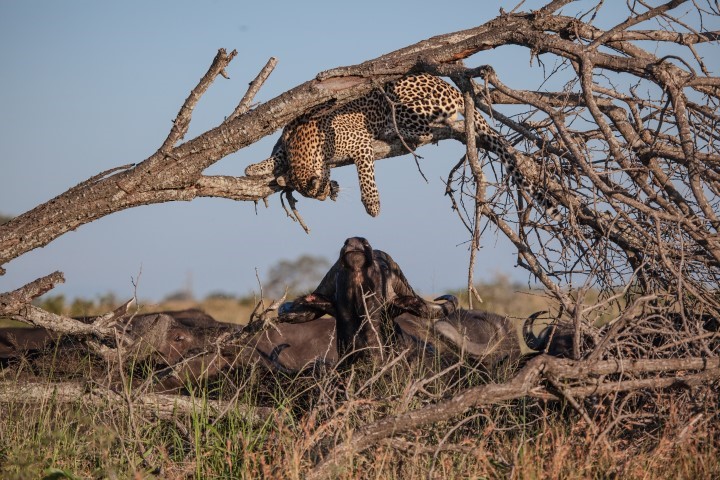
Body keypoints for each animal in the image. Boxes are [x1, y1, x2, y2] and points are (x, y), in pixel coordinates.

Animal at [245, 73, 559, 218]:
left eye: (320, 195)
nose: (330, 195)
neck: (303, 145)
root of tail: (451, 86)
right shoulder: (286, 142)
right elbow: (273, 158)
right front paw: (254, 168)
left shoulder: (359, 143)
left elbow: (365, 173)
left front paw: (372, 205)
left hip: (405, 105)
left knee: (437, 127)